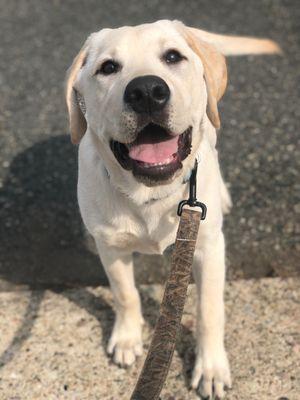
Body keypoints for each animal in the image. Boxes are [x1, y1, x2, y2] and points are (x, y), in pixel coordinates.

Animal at [65, 20, 278, 398]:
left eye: (173, 57)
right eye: (108, 67)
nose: (147, 91)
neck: (150, 193)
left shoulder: (208, 248)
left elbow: (209, 311)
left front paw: (210, 367)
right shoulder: (109, 246)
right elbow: (124, 293)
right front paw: (127, 338)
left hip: (212, 125)